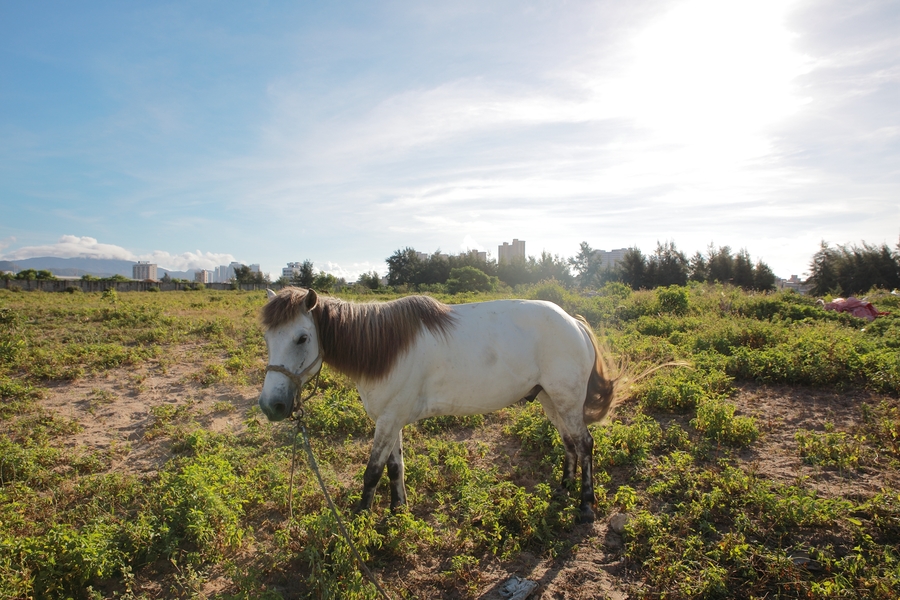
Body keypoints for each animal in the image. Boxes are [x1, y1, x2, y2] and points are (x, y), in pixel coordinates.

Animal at [262, 286, 620, 520]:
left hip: (567, 401)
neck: (386, 350)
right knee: (569, 442)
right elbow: (395, 466)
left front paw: (360, 521)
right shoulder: (393, 420)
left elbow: (372, 472)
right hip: (550, 400)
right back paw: (563, 488)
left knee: (584, 444)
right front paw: (398, 511)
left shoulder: (387, 421)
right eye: (267, 337)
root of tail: (574, 323)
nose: (271, 405)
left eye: (302, 338)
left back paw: (586, 505)